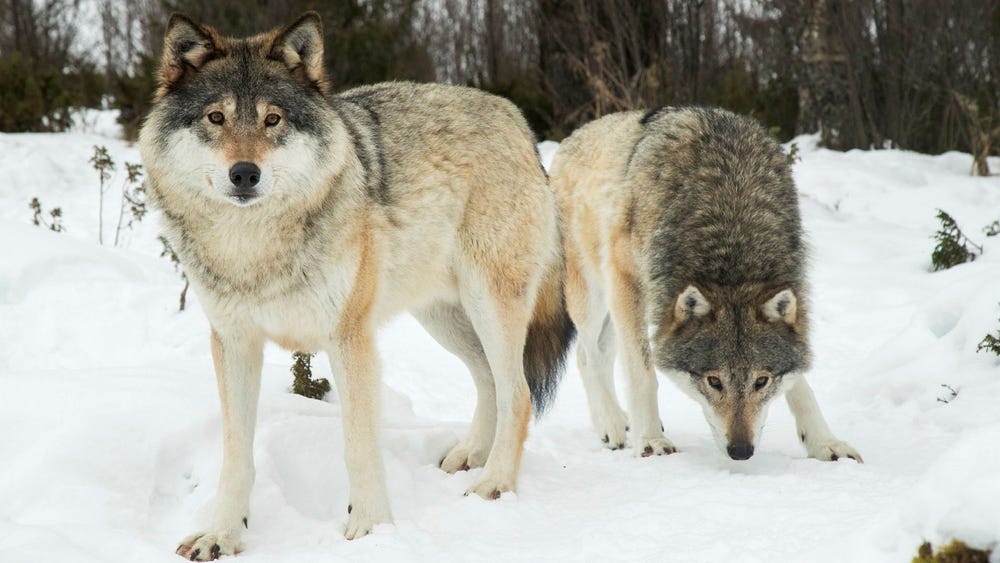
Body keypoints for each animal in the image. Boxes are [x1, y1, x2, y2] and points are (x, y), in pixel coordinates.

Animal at [143, 11, 580, 560]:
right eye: (216, 118)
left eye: (273, 120)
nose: (244, 174)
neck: (254, 247)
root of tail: (516, 119)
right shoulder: (234, 343)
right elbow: (236, 454)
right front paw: (223, 534)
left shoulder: (349, 340)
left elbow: (357, 447)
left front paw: (372, 531)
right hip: (446, 320)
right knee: (490, 382)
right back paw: (471, 455)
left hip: (489, 305)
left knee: (518, 393)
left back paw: (494, 483)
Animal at [548, 108, 860, 464]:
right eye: (713, 381)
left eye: (762, 381)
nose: (741, 451)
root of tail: (573, 137)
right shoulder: (627, 282)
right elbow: (643, 374)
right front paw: (651, 440)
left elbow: (801, 385)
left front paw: (824, 442)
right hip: (594, 294)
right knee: (586, 355)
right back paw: (610, 423)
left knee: (601, 352)